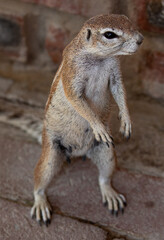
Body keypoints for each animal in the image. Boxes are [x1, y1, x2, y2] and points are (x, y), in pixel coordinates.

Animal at [30, 14, 144, 226]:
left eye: (128, 20)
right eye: (110, 34)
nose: (141, 39)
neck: (100, 59)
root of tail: (78, 153)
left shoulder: (115, 71)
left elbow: (120, 91)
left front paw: (126, 119)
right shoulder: (72, 73)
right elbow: (78, 101)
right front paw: (98, 126)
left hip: (107, 154)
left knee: (104, 178)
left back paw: (111, 195)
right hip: (50, 154)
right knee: (39, 180)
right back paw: (40, 202)